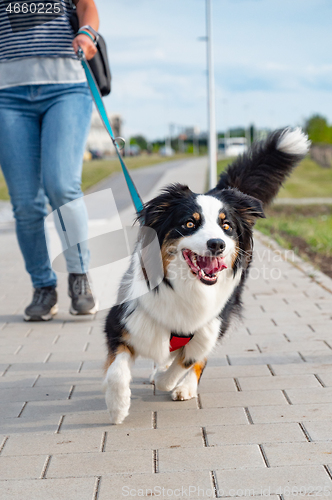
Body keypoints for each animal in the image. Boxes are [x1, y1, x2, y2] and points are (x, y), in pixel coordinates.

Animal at [102, 127, 310, 424]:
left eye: (226, 226)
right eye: (190, 223)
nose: (217, 244)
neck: (186, 287)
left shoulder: (210, 324)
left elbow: (188, 360)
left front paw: (168, 380)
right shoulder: (123, 319)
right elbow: (117, 370)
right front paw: (117, 407)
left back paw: (185, 386)